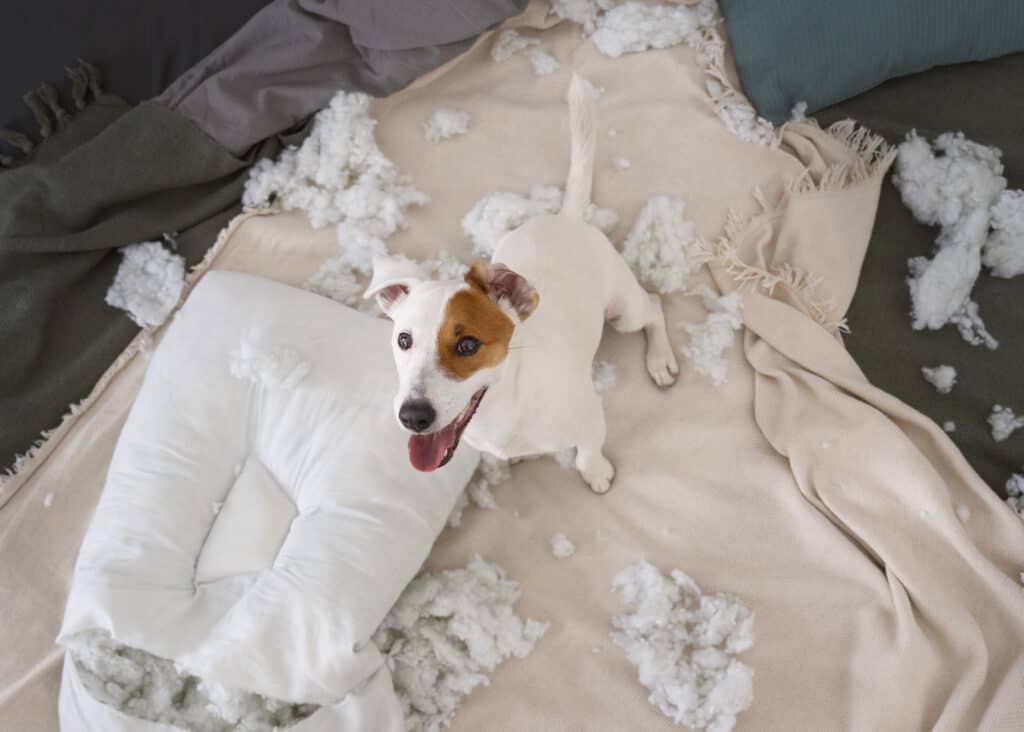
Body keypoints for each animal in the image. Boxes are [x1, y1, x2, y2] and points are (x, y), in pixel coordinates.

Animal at [364, 74, 675, 495]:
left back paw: (660, 360)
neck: (504, 405)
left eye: (467, 345)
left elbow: (588, 451)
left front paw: (596, 472)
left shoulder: (589, 415)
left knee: (654, 306)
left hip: (624, 311)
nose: (413, 416)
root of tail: (567, 218)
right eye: (403, 340)